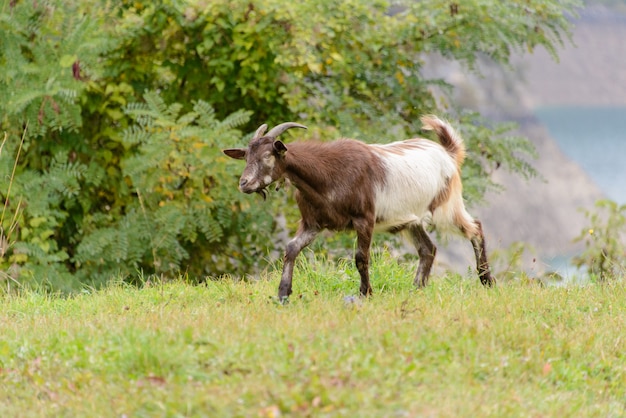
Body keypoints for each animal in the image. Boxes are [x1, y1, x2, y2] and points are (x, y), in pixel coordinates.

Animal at [223, 116, 492, 300]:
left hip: (446, 206)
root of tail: (449, 153)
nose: (244, 183)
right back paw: (417, 288)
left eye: (268, 156)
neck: (329, 175)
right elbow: (291, 249)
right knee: (428, 249)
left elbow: (361, 257)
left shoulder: (364, 218)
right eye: (246, 156)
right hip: (410, 219)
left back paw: (487, 281)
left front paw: (366, 293)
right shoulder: (313, 223)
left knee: (475, 228)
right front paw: (283, 294)